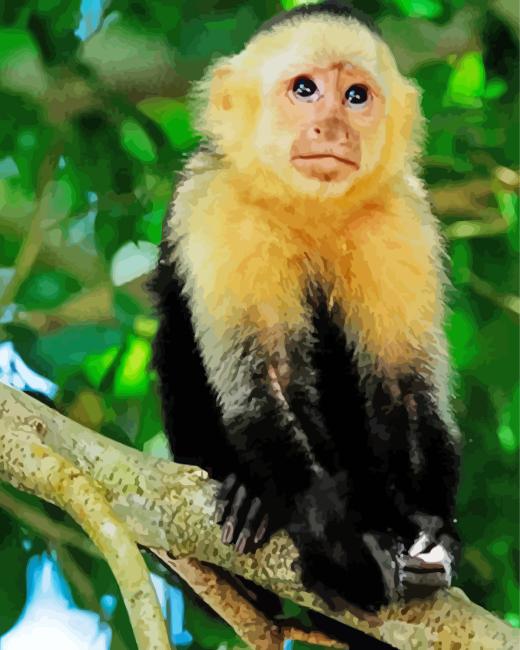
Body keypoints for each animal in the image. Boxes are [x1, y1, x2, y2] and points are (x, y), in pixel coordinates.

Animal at [150, 0, 461, 613]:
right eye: (305, 89)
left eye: (357, 96)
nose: (332, 128)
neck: (310, 208)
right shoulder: (222, 206)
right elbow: (269, 377)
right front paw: (347, 545)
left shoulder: (401, 221)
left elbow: (403, 389)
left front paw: (428, 528)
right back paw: (249, 503)